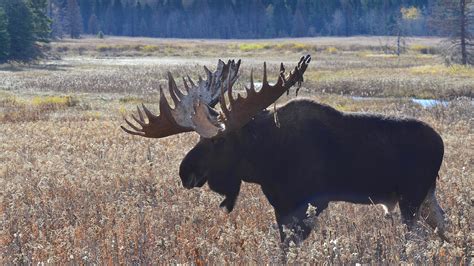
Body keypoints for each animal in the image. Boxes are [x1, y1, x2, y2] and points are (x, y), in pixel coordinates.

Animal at [122, 55, 448, 243]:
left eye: (217, 141)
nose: (184, 172)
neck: (263, 160)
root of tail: (441, 143)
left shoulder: (306, 203)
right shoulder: (280, 206)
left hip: (411, 198)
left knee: (418, 240)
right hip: (425, 197)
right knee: (441, 226)